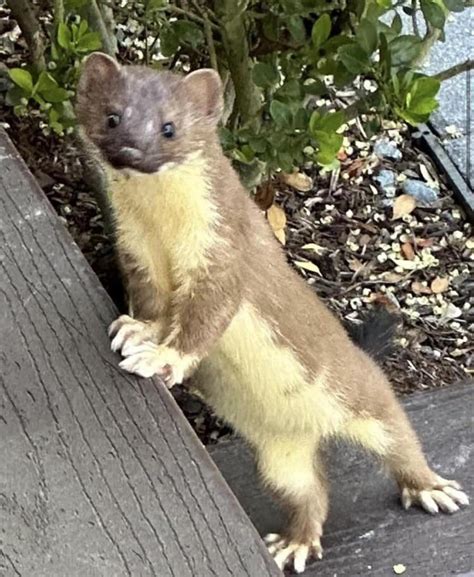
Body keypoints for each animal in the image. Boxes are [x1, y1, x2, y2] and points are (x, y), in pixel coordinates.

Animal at [76, 53, 468, 572]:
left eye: (169, 127)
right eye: (112, 116)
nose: (131, 148)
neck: (165, 232)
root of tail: (315, 430)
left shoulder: (223, 256)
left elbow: (204, 320)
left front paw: (160, 359)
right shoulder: (136, 250)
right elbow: (155, 305)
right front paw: (138, 331)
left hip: (360, 393)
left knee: (399, 439)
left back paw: (432, 489)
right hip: (281, 458)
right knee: (311, 493)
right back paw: (294, 543)